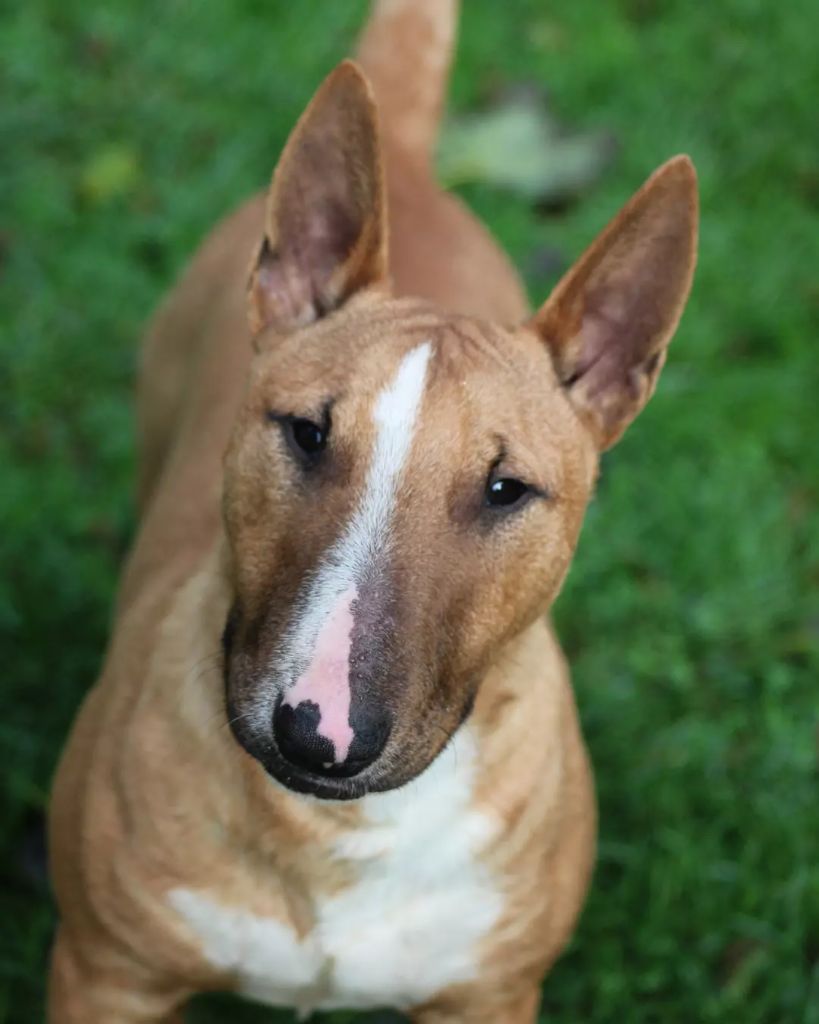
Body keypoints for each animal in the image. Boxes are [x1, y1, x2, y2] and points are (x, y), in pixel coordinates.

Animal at [47, 1, 698, 1020]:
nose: (320, 734)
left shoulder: (487, 994)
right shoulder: (106, 973)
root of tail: (406, 156)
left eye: (505, 488)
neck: (342, 837)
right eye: (308, 433)